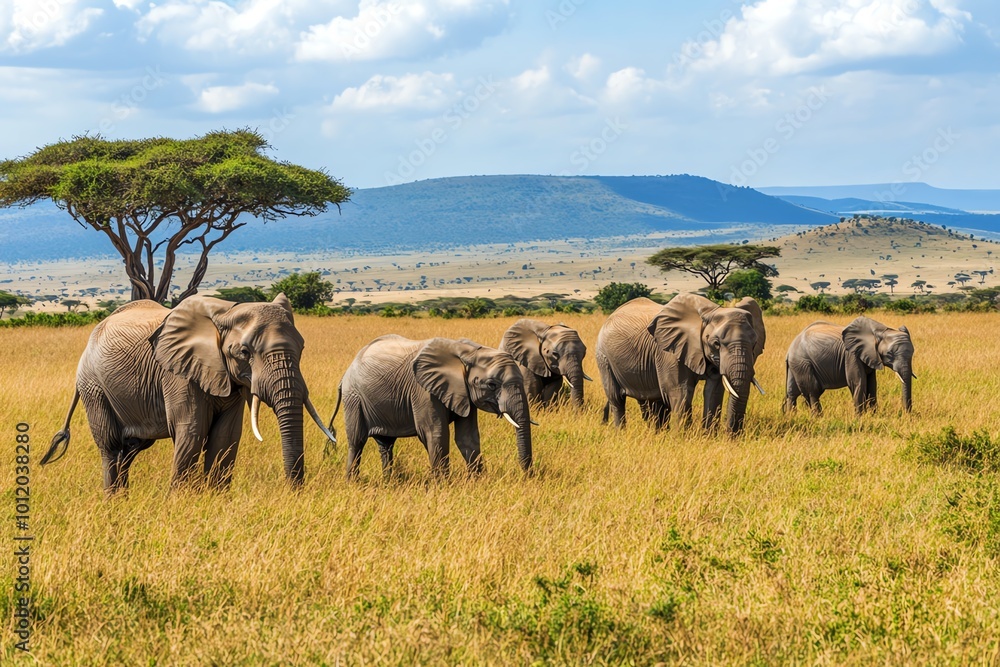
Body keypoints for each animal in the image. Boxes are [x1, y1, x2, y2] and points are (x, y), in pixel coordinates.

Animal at [40, 294, 336, 494]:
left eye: (302, 348)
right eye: (244, 352)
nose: (294, 491)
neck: (227, 311)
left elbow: (225, 437)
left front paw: (216, 501)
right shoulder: (178, 374)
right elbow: (192, 432)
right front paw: (180, 503)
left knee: (130, 449)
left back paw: (123, 500)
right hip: (93, 386)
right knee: (111, 446)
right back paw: (113, 501)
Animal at [330, 335, 533, 480]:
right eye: (491, 385)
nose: (527, 475)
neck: (467, 352)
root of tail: (345, 374)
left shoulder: (463, 392)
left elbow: (468, 437)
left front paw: (478, 481)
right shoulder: (423, 391)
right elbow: (435, 433)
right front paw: (443, 485)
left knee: (385, 444)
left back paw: (389, 482)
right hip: (354, 398)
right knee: (357, 441)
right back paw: (353, 482)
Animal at [595, 294, 766, 433]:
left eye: (754, 344)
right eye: (716, 343)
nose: (732, 436)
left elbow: (714, 391)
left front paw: (708, 437)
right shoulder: (669, 352)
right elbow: (680, 391)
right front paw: (682, 439)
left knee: (651, 401)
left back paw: (657, 434)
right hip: (604, 358)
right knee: (617, 399)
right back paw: (621, 432)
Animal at [784, 316, 915, 415]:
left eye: (913, 353)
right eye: (889, 354)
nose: (906, 414)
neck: (880, 331)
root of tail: (789, 350)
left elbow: (872, 384)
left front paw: (873, 416)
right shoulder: (851, 355)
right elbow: (858, 382)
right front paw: (860, 418)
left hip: (796, 365)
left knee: (792, 393)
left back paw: (791, 417)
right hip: (802, 363)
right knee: (813, 391)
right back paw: (818, 418)